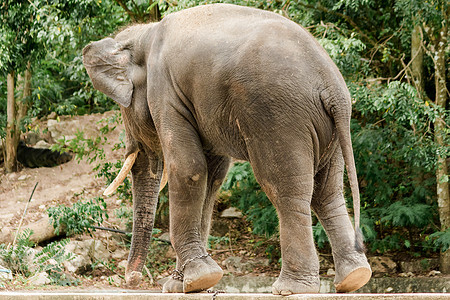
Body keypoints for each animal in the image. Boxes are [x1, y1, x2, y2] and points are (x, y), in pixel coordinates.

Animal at [82, 3, 370, 294]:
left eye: (124, 107)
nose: (133, 280)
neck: (144, 34)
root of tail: (332, 86)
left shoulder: (165, 92)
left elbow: (188, 168)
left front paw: (196, 279)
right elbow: (212, 177)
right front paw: (185, 285)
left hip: (278, 117)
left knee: (285, 187)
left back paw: (290, 288)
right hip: (329, 130)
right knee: (327, 191)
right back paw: (353, 277)